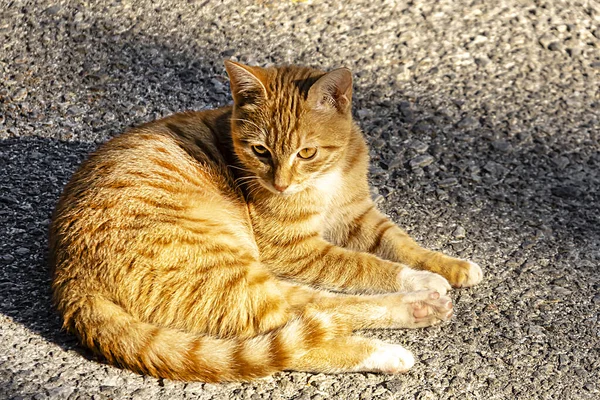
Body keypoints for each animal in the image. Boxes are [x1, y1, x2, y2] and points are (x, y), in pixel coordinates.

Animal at [49, 60, 486, 382]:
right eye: (260, 150)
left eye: (306, 152)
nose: (279, 184)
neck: (326, 179)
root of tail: (69, 276)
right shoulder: (297, 250)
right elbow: (366, 265)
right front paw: (420, 278)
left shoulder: (358, 217)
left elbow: (402, 244)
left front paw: (448, 265)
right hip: (232, 272)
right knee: (309, 326)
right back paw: (399, 335)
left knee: (313, 309)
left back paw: (419, 308)